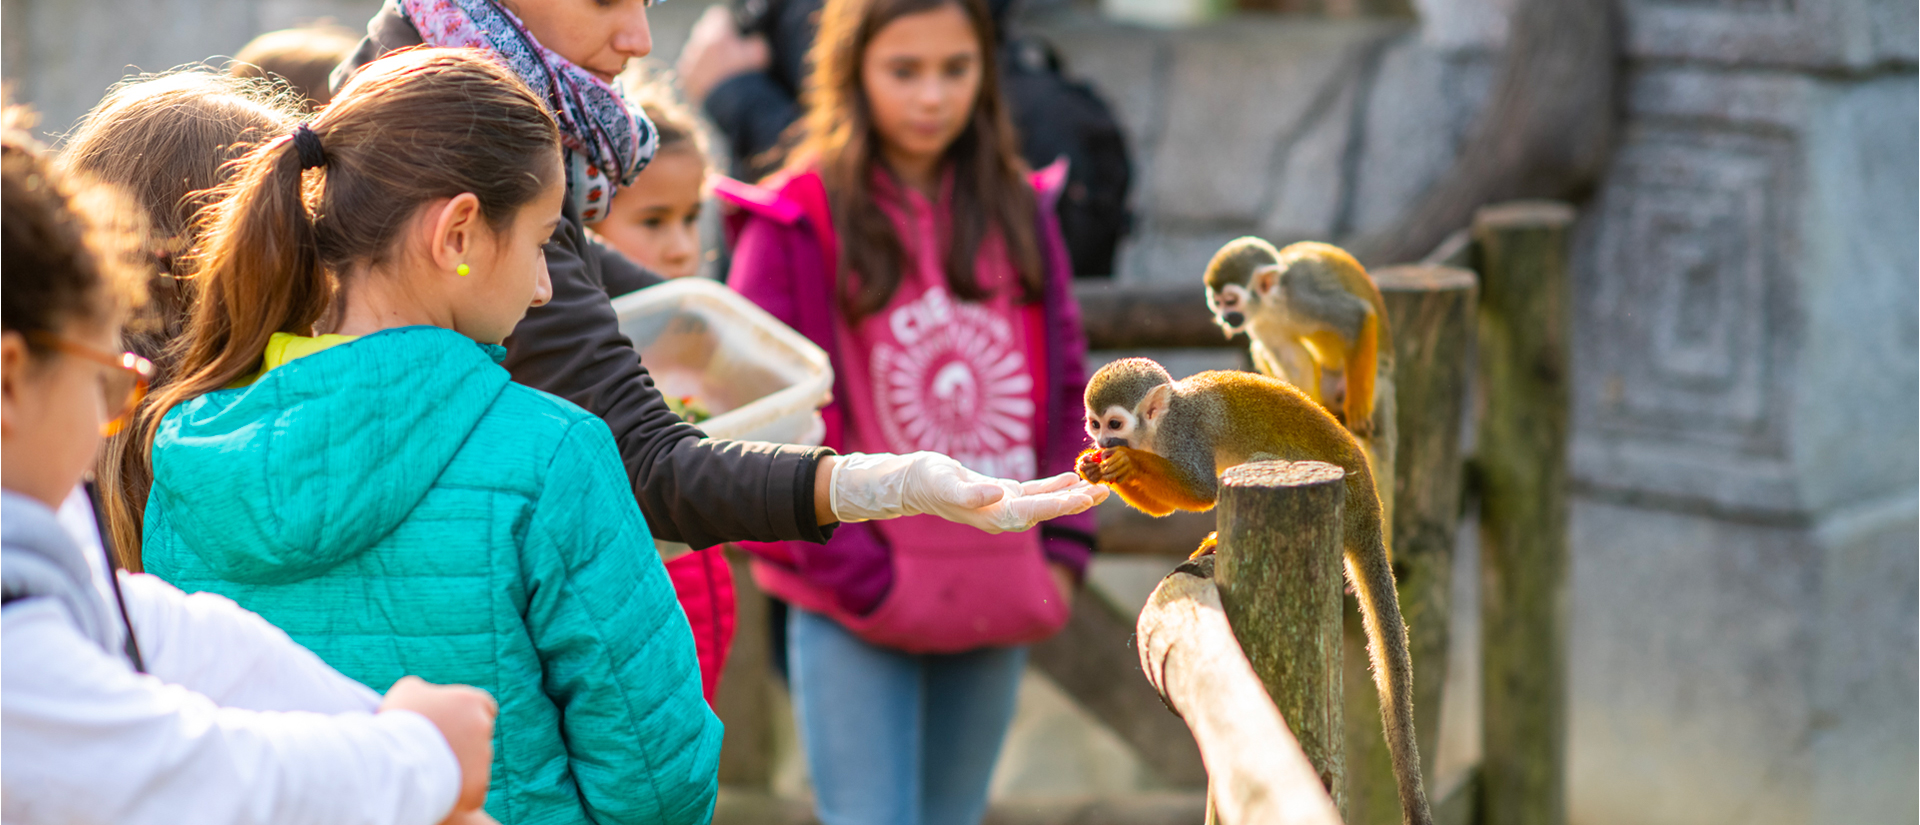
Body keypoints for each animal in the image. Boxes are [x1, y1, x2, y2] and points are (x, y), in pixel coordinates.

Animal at [1075, 356, 1436, 825]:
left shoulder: (1182, 438)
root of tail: (1369, 514)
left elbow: (1201, 490)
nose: (1103, 440)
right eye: (1095, 423)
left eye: (1115, 423)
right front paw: (1093, 466)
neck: (1158, 426)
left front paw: (1125, 463)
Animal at [1205, 238, 1405, 544]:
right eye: (1217, 303)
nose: (1226, 318)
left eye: (1231, 301)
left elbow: (1357, 318)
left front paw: (1358, 410)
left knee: (1379, 442)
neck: (1273, 304)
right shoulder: (1260, 324)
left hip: (1377, 380)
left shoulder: (1304, 297)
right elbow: (1293, 363)